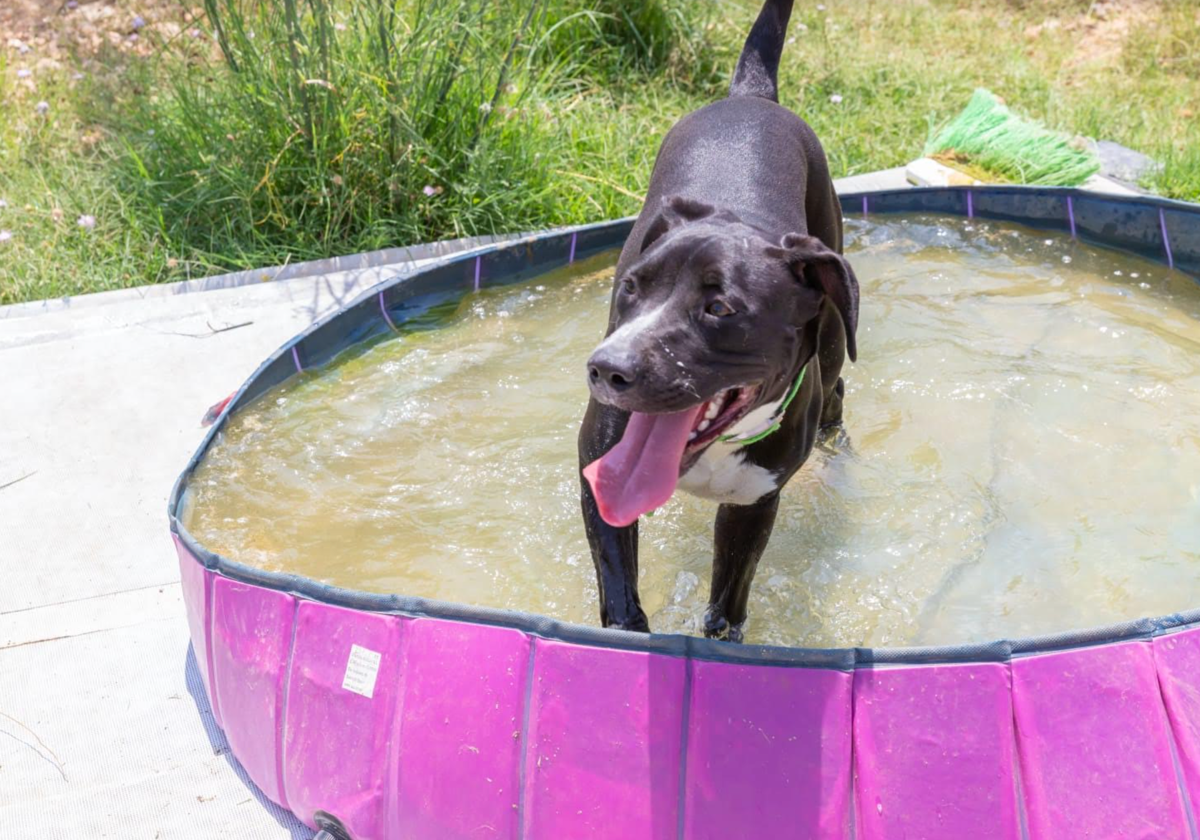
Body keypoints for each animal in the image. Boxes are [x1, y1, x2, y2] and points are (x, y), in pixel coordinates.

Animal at [576, 0, 859, 643]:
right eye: (632, 287)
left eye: (721, 308)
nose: (606, 369)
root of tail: (750, 96)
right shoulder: (597, 466)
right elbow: (619, 586)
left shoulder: (753, 505)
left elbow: (728, 603)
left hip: (834, 317)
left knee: (838, 390)